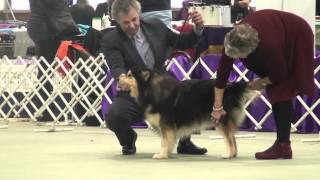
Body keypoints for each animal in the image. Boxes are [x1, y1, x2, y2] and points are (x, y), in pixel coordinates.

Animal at [120, 67, 258, 159]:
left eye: (129, 75)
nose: (118, 77)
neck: (150, 88)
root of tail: (230, 87)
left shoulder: (166, 123)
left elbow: (165, 141)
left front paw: (162, 154)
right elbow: (167, 141)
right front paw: (167, 153)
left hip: (220, 118)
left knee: (229, 139)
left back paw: (229, 154)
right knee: (232, 137)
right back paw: (233, 154)